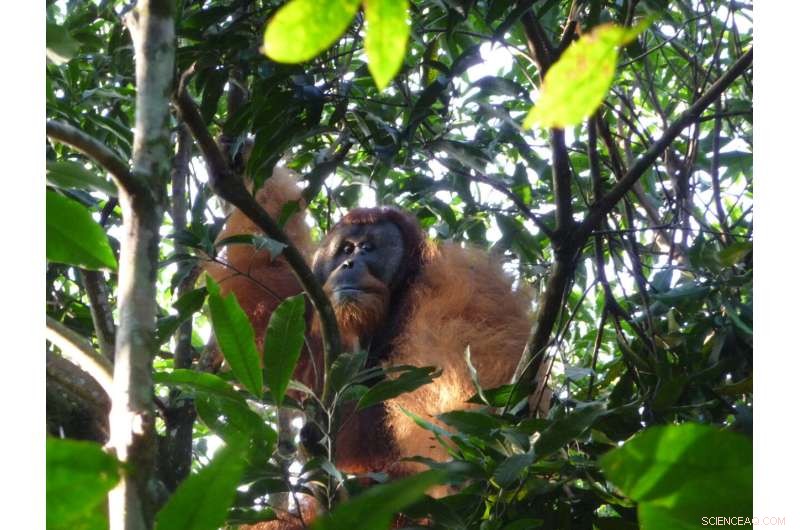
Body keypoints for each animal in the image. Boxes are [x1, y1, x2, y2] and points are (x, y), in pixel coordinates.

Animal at [205, 170, 551, 528]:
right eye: (346, 248)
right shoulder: (308, 310)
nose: (349, 263)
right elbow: (264, 273)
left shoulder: (458, 285)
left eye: (369, 248)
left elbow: (474, 375)